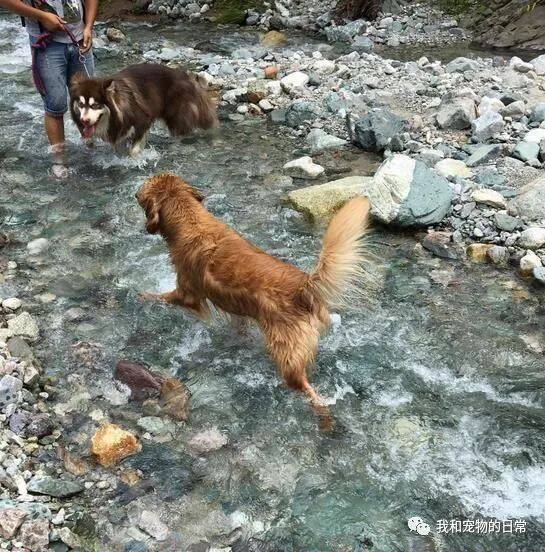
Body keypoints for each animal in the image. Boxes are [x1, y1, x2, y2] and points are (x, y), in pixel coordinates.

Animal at [69, 63, 217, 156]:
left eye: (95, 105)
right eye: (81, 104)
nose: (84, 121)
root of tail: (187, 77)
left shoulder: (143, 120)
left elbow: (133, 150)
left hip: (177, 118)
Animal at [137, 175, 370, 412]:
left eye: (140, 194)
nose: (135, 193)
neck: (190, 220)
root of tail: (303, 285)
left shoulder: (188, 293)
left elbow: (162, 297)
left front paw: (142, 295)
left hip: (286, 352)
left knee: (303, 384)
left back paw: (320, 405)